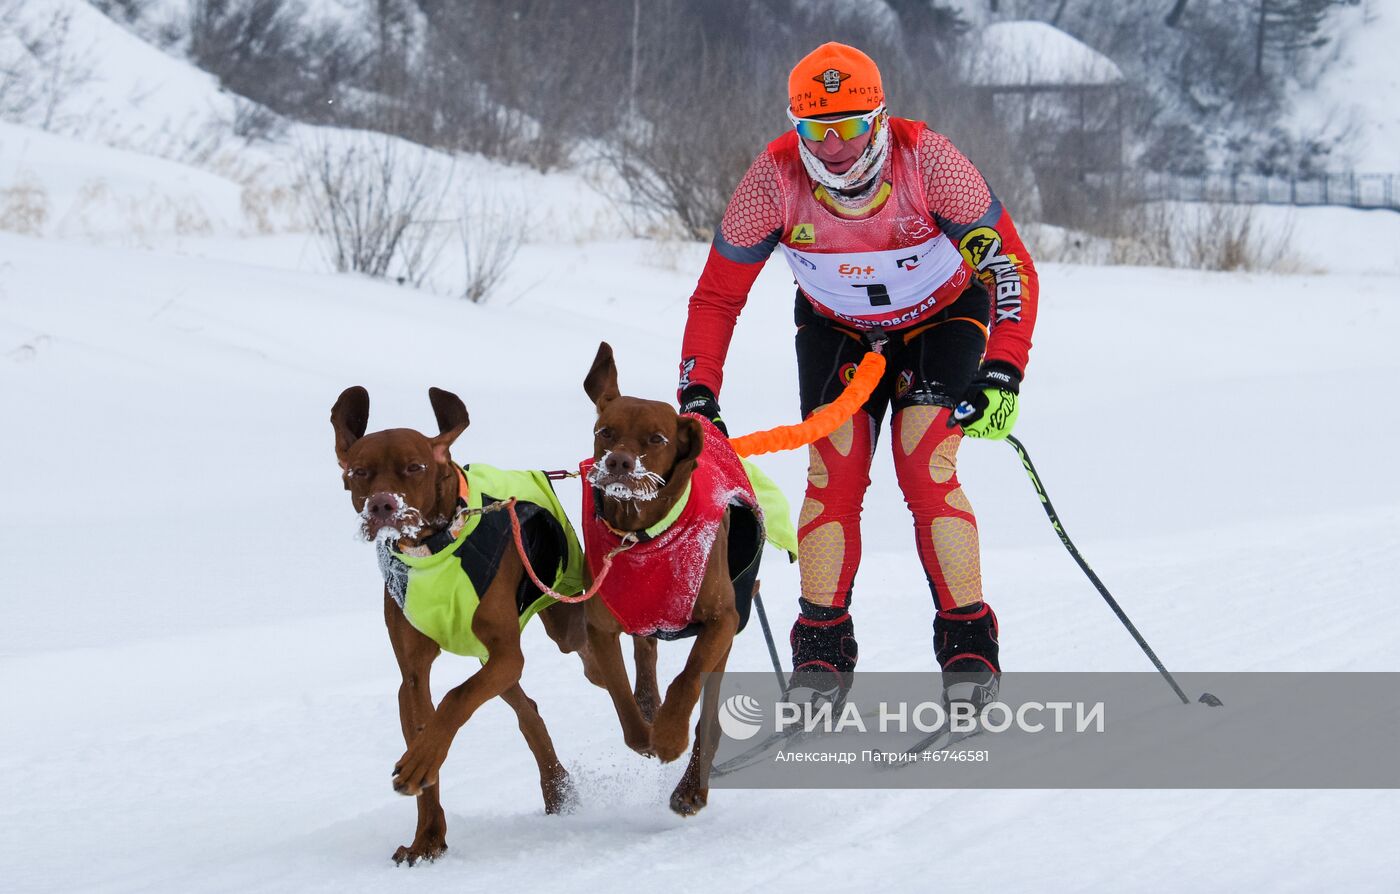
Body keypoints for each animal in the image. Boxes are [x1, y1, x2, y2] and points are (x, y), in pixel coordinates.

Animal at [579, 344, 778, 817]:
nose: (618, 462)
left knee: (708, 716)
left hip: (728, 632)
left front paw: (669, 736)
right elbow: (621, 694)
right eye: (605, 431)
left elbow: (687, 679)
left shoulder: (722, 621)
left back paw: (691, 787)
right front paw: (646, 732)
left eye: (657, 439)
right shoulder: (601, 626)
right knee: (645, 657)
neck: (643, 537)